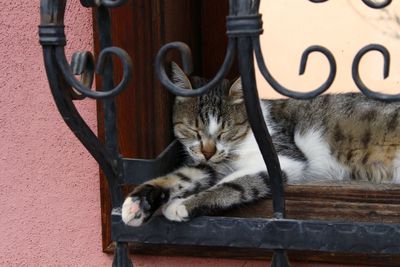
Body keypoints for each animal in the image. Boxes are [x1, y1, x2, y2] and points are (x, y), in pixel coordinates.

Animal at [121, 63, 400, 228]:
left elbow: (235, 184)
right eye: (194, 130)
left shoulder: (284, 158)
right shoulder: (207, 164)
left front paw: (182, 205)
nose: (208, 151)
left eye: (226, 131)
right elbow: (180, 176)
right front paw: (138, 201)